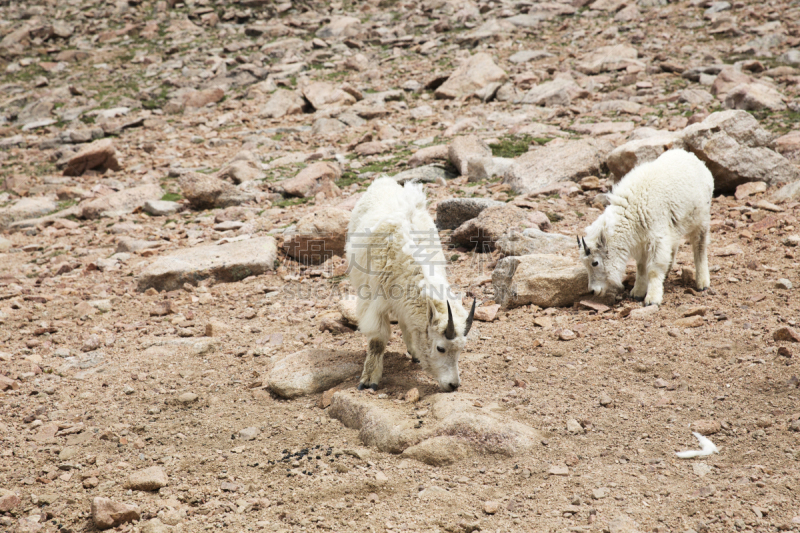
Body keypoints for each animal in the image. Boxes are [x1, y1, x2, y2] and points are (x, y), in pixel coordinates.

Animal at [346, 177, 476, 388]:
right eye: (441, 348)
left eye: (461, 349)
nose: (453, 385)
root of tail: (384, 180)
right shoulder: (376, 300)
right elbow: (377, 340)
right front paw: (369, 379)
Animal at [580, 151, 712, 308]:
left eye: (595, 262)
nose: (593, 291)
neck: (631, 213)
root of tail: (694, 158)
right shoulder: (642, 241)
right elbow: (641, 267)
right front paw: (637, 292)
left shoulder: (656, 238)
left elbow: (653, 270)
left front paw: (652, 298)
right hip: (675, 226)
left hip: (701, 218)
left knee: (700, 247)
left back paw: (702, 282)